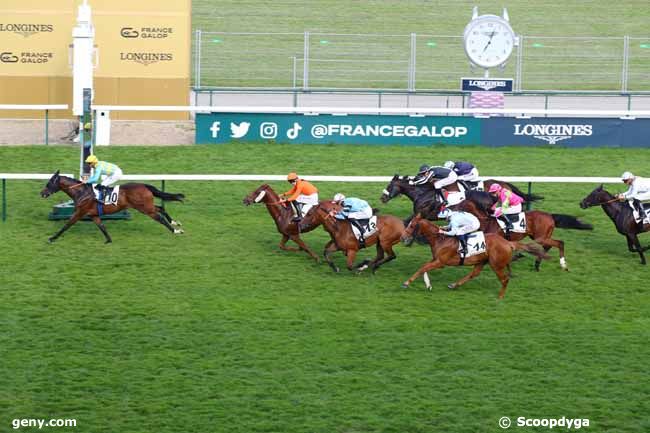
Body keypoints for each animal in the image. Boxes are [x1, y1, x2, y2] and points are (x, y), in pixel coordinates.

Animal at [40, 170, 184, 243]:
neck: (81, 192)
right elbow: (102, 227)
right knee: (161, 208)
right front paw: (108, 240)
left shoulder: (80, 212)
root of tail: (144, 185)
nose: (42, 193)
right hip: (147, 206)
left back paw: (175, 231)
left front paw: (52, 238)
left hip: (145, 209)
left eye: (49, 183)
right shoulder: (93, 215)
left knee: (160, 217)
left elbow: (66, 225)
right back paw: (176, 223)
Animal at [400, 213, 548, 300]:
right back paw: (454, 285)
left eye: (412, 225)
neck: (440, 239)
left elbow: (422, 268)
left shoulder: (440, 262)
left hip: (496, 265)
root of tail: (508, 243)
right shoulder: (435, 259)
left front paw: (406, 283)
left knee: (504, 279)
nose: (402, 237)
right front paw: (428, 285)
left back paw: (500, 296)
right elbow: (424, 267)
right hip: (481, 260)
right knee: (474, 274)